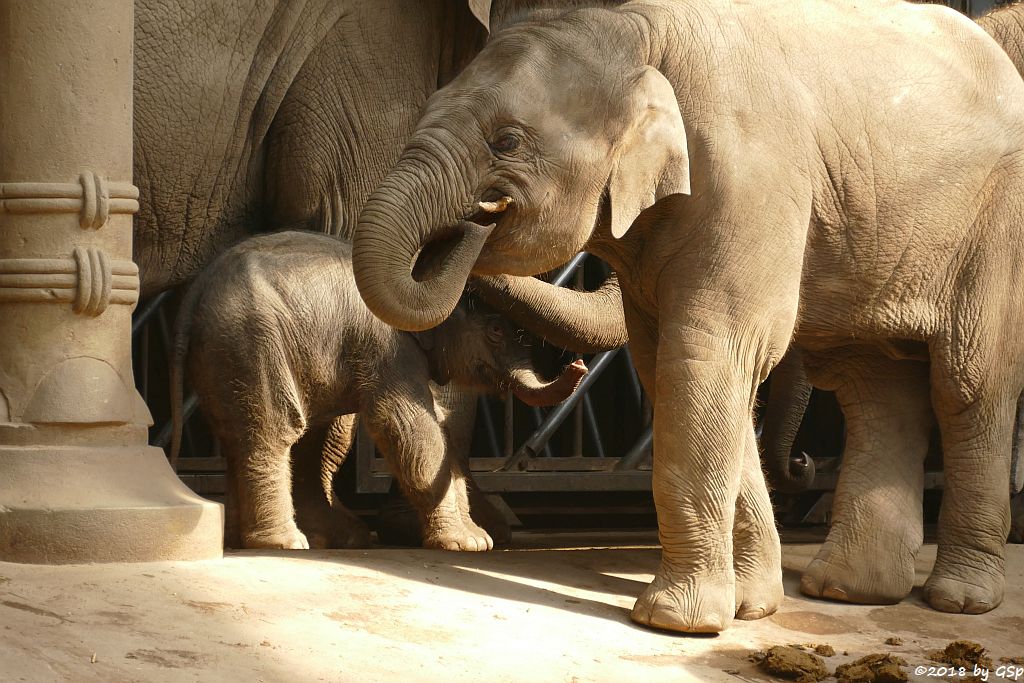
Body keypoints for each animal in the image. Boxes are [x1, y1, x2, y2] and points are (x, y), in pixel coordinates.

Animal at [167, 232, 585, 552]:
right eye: (496, 331)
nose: (578, 366)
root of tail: (196, 292)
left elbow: (438, 429)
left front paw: (478, 538)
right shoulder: (389, 349)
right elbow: (412, 429)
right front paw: (466, 544)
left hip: (224, 355)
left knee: (241, 438)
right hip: (250, 344)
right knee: (273, 431)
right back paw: (286, 544)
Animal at [350, 0, 1024, 634]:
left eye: (507, 142)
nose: (469, 227)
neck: (639, 33)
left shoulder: (750, 179)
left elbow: (703, 355)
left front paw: (674, 622)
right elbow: (671, 365)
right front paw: (751, 609)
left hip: (996, 227)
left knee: (967, 384)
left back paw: (957, 600)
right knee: (875, 388)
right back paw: (846, 591)